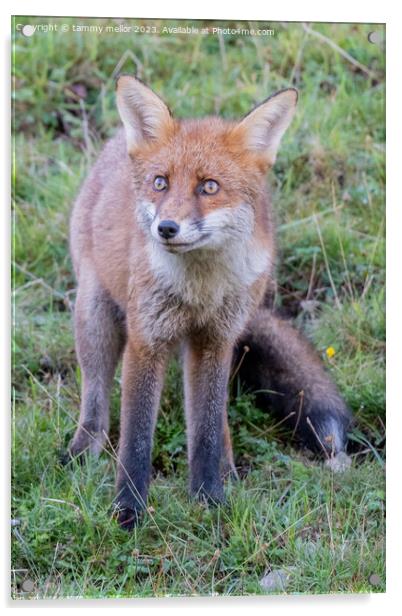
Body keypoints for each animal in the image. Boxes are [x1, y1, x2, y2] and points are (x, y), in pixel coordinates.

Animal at [68, 76, 352, 528]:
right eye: (161, 183)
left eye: (209, 186)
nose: (166, 228)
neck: (198, 292)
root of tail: (114, 145)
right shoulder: (146, 341)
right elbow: (136, 437)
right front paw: (128, 511)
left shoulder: (215, 340)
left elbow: (203, 430)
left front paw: (209, 501)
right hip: (95, 315)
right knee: (96, 396)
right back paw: (83, 450)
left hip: (210, 347)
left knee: (215, 419)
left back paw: (228, 472)